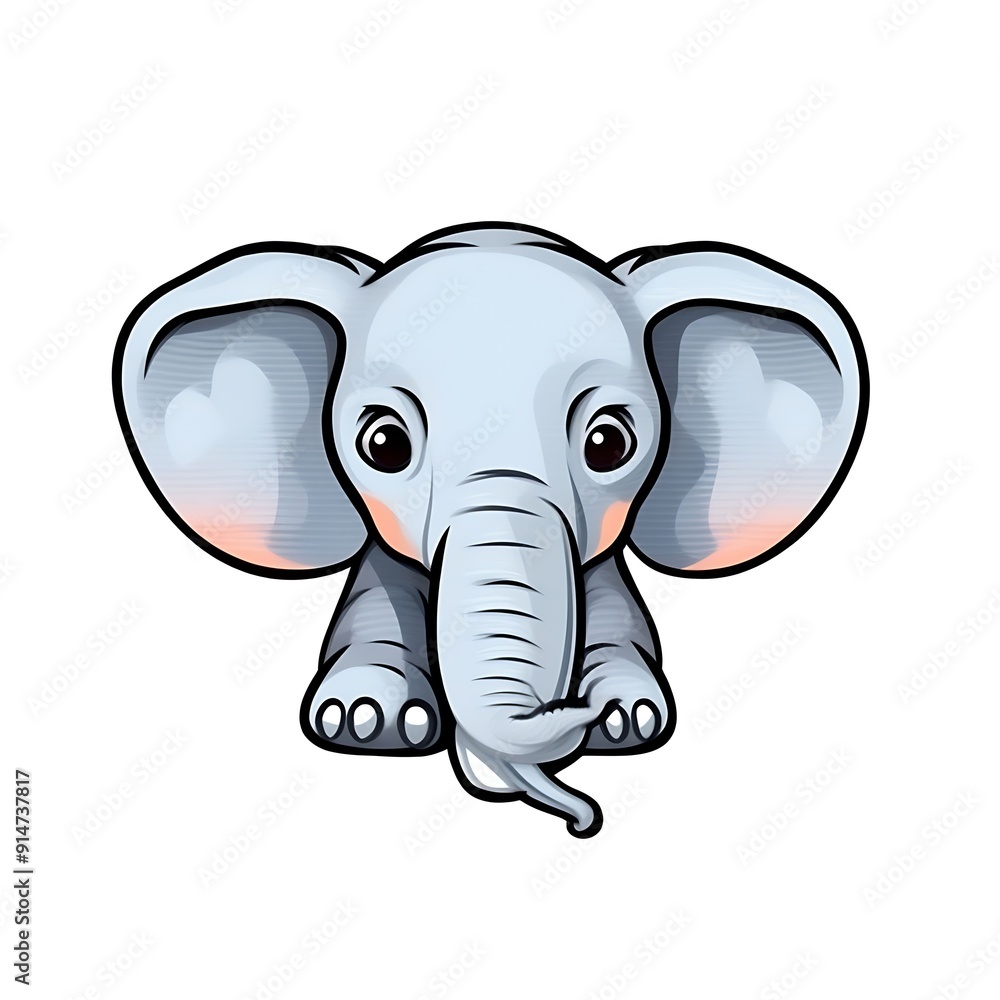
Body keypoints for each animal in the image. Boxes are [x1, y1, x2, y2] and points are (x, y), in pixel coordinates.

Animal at [113, 222, 868, 837]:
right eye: (382, 444)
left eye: (609, 443)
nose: (584, 821)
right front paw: (365, 718)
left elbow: (625, 630)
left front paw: (624, 716)